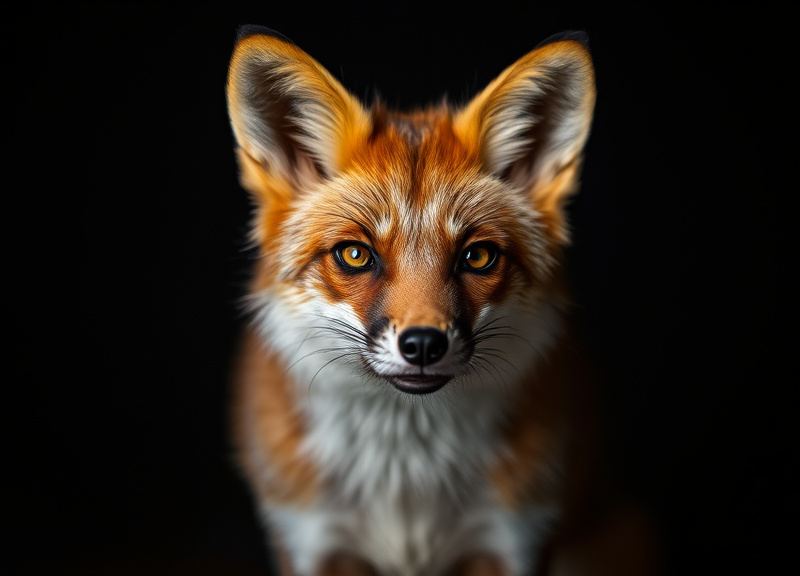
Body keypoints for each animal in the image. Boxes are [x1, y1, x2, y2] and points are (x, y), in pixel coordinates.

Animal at [226, 25, 651, 576]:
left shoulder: (517, 536)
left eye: (478, 257)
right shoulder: (312, 541)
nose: (423, 344)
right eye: (355, 254)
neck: (406, 485)